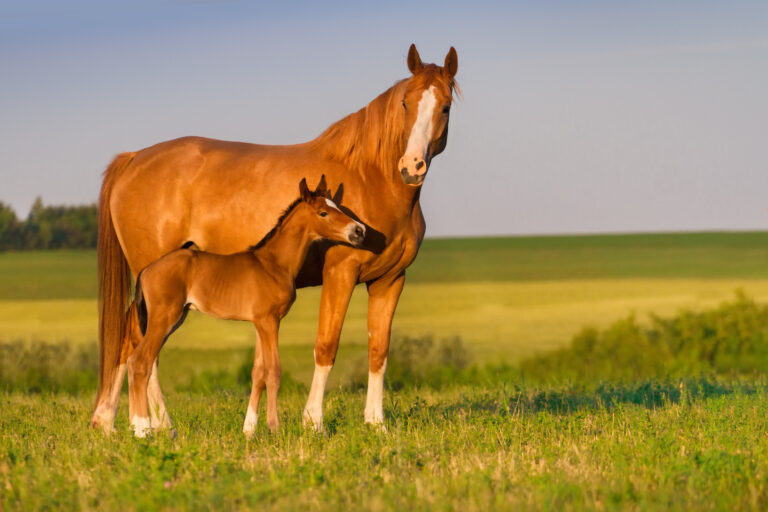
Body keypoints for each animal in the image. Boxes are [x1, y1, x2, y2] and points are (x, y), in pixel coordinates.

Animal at [127, 178, 364, 438]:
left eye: (338, 206)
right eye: (323, 212)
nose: (359, 231)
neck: (273, 264)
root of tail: (146, 271)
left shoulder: (261, 323)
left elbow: (258, 372)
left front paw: (250, 430)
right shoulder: (269, 321)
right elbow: (273, 371)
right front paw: (274, 428)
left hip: (173, 319)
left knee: (141, 362)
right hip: (164, 318)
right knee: (140, 362)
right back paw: (142, 430)